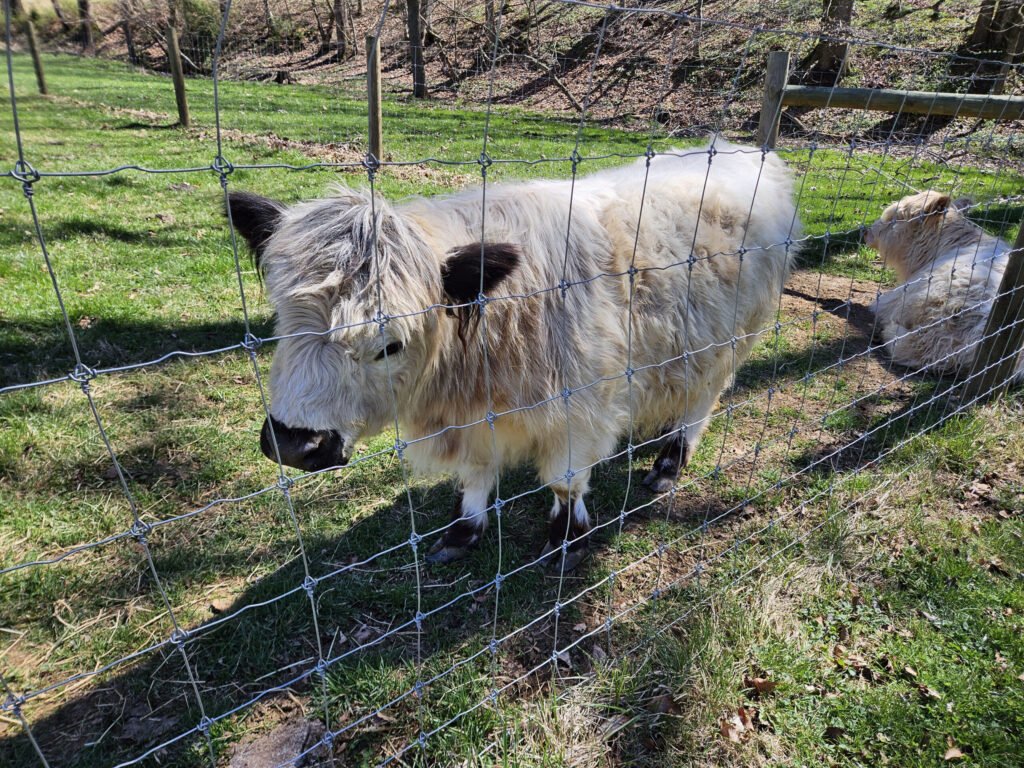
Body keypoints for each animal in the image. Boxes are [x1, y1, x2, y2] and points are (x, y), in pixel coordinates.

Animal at [227, 140, 801, 570]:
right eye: (283, 322)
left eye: (389, 345)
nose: (294, 444)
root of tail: (748, 152)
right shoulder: (473, 420)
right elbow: (476, 476)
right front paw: (461, 533)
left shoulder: (581, 412)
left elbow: (566, 483)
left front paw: (566, 541)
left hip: (730, 343)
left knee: (701, 404)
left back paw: (668, 463)